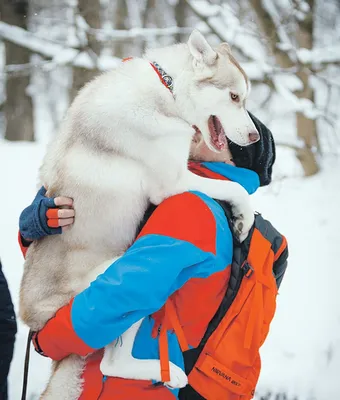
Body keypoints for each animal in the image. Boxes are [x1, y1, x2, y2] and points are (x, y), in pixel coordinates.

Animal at [19, 29, 258, 398]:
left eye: (245, 100)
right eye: (234, 96)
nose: (255, 136)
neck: (167, 91)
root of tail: (33, 319)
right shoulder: (173, 182)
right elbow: (237, 188)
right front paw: (245, 217)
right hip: (120, 283)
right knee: (110, 362)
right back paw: (168, 373)